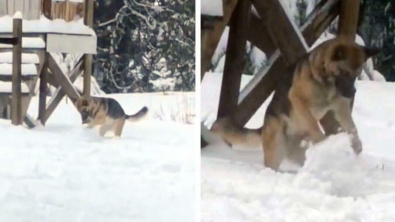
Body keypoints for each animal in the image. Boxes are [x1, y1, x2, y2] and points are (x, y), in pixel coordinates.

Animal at [213, 37, 380, 170]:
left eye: (357, 75)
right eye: (345, 72)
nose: (352, 92)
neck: (325, 81)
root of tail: (263, 128)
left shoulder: (341, 108)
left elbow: (352, 127)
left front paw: (356, 145)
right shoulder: (298, 100)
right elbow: (313, 124)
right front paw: (323, 141)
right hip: (276, 151)